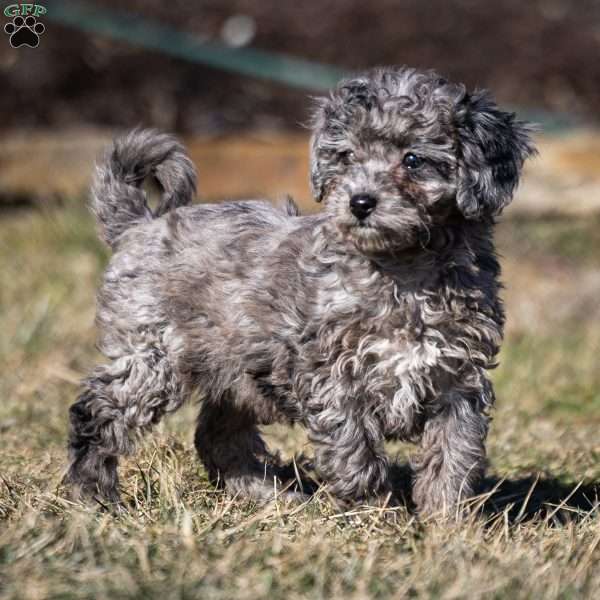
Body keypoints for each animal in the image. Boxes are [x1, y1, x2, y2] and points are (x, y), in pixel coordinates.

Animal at [68, 65, 536, 516]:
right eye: (347, 157)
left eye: (413, 159)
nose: (360, 202)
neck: (403, 271)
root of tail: (140, 224)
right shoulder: (332, 377)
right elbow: (355, 453)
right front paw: (376, 517)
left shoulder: (458, 380)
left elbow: (453, 455)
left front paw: (447, 523)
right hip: (153, 355)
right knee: (98, 412)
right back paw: (93, 495)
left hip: (239, 370)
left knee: (218, 435)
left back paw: (268, 495)